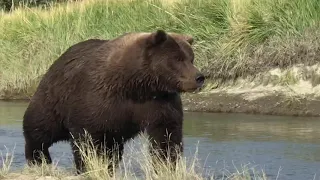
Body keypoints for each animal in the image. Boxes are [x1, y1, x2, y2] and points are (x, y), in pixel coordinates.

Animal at [23, 29, 208, 174]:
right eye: (177, 58)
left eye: (191, 58)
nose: (199, 77)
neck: (136, 84)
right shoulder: (97, 99)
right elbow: (87, 139)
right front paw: (88, 167)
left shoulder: (159, 102)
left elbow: (166, 135)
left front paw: (166, 166)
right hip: (53, 98)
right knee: (40, 128)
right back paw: (38, 158)